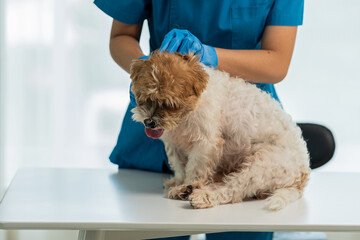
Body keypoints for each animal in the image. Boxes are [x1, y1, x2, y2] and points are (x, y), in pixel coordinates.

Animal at [131, 50, 310, 210]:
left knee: (232, 190)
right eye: (143, 98)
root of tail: (302, 175)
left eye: (170, 104)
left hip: (261, 166)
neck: (186, 115)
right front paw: (179, 182)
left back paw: (200, 195)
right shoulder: (174, 146)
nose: (149, 122)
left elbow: (195, 169)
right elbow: (180, 168)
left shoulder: (205, 144)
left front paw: (189, 183)